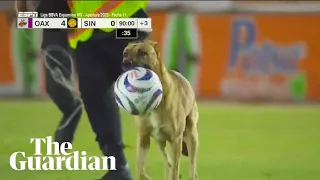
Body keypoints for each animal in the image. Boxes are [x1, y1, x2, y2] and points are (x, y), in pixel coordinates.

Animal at [122, 40, 199, 180]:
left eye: (142, 53)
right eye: (125, 53)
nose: (125, 63)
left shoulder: (176, 139)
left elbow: (175, 169)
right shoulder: (143, 137)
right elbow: (140, 169)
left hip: (191, 136)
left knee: (191, 166)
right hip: (160, 140)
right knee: (167, 159)